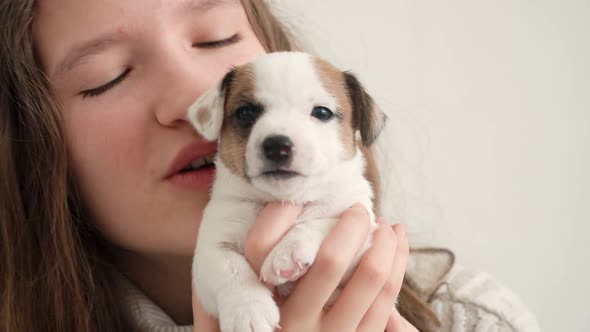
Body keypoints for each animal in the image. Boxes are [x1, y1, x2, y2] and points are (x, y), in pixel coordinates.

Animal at [187, 52, 386, 332]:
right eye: (245, 113)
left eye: (322, 112)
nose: (277, 145)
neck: (281, 200)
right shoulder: (209, 250)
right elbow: (229, 269)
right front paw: (248, 311)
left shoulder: (361, 234)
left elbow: (324, 221)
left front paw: (288, 252)